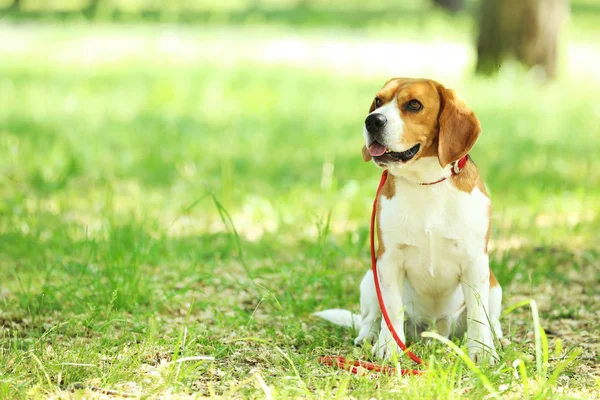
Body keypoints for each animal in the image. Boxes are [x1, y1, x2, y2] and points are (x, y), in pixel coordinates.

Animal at [314, 77, 502, 362]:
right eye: (378, 101)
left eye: (414, 104)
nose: (372, 121)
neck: (426, 183)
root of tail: (435, 329)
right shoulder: (389, 260)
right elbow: (392, 310)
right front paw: (389, 347)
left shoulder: (475, 262)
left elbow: (478, 315)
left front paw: (481, 350)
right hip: (371, 277)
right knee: (370, 318)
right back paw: (369, 336)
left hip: (494, 285)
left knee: (491, 318)